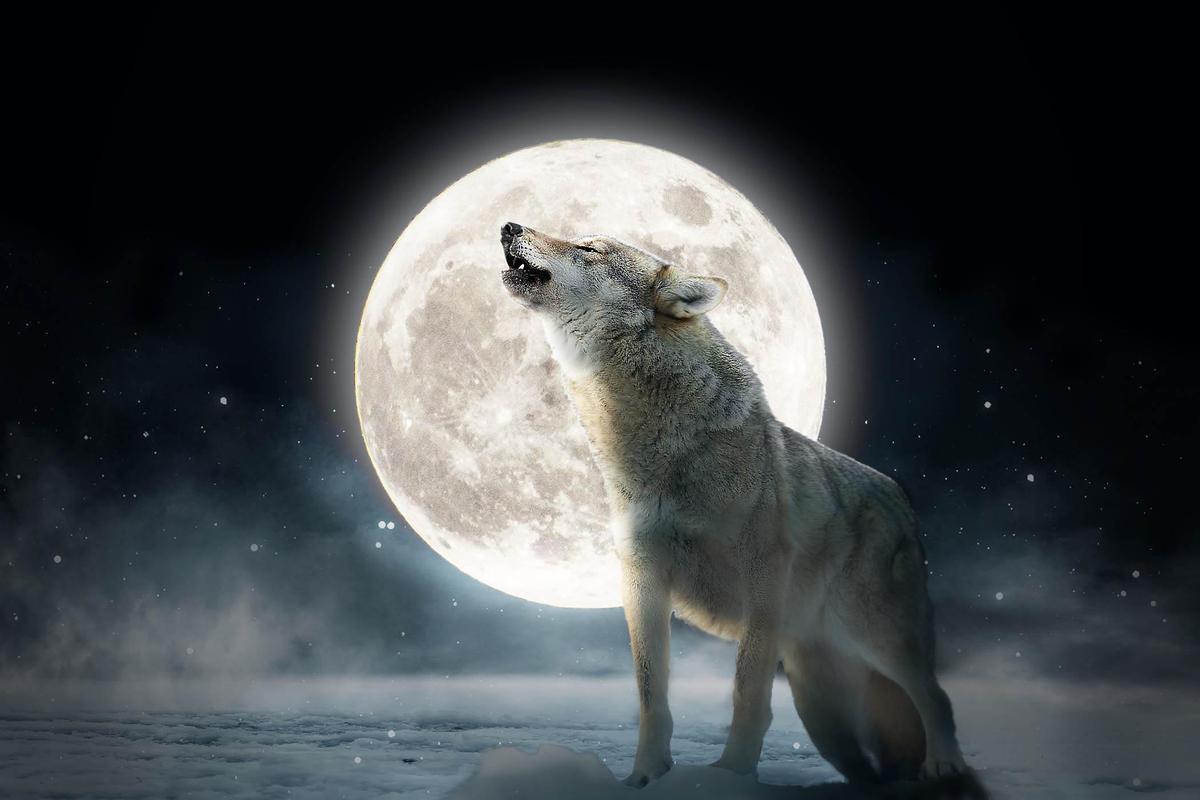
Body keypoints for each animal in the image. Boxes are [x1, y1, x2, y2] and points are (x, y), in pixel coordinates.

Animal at [499, 222, 971, 789]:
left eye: (589, 248)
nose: (507, 226)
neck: (659, 448)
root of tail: (899, 495)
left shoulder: (761, 573)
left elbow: (749, 691)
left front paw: (731, 774)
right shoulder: (642, 579)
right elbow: (652, 696)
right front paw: (646, 776)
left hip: (877, 636)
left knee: (936, 696)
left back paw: (944, 764)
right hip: (818, 700)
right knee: (863, 759)